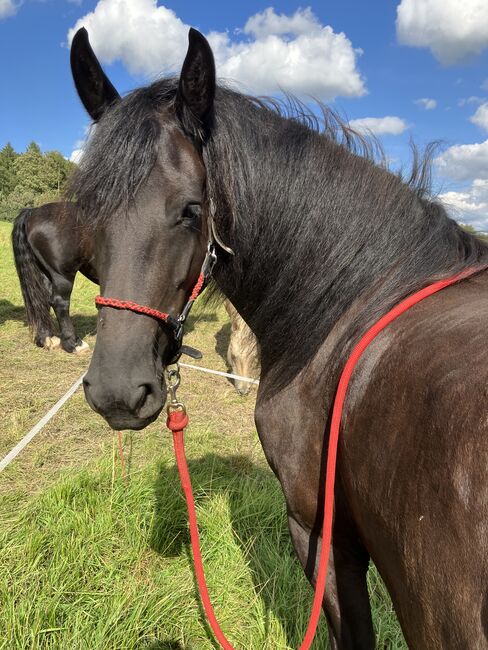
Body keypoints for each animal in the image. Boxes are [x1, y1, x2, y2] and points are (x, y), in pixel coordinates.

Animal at [11, 204, 96, 352]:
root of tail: (32, 212)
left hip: (44, 271)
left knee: (42, 299)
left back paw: (46, 339)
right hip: (61, 274)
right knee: (59, 302)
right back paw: (74, 343)